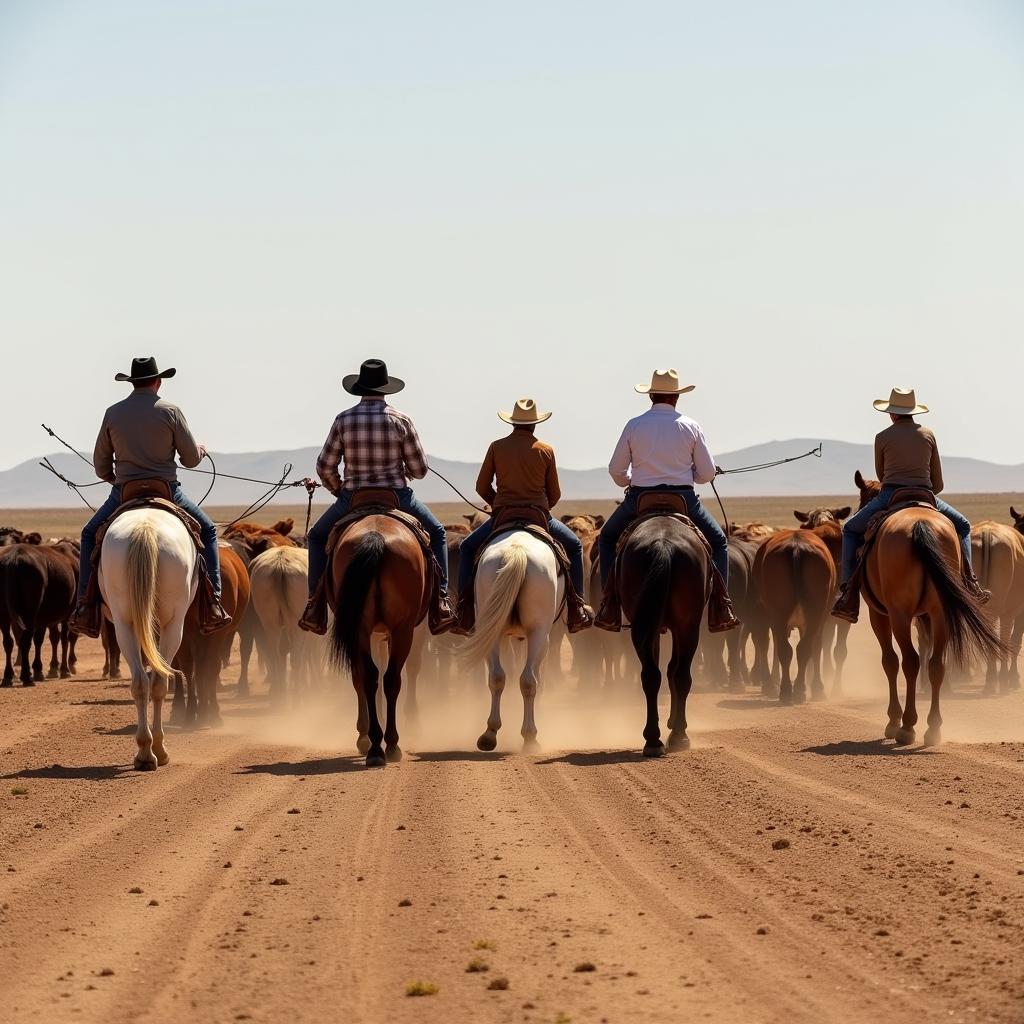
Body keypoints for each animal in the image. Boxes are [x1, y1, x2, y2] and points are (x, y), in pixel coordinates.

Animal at [99, 512, 197, 770]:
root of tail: (146, 528)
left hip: (124, 620)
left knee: (142, 683)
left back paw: (145, 751)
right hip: (173, 622)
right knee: (159, 681)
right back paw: (158, 750)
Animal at [325, 516, 425, 765]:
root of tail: (376, 536)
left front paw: (365, 735)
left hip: (362, 628)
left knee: (371, 677)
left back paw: (376, 747)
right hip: (401, 630)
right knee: (390, 679)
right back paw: (388, 744)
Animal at [460, 528, 565, 753]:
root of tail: (517, 549)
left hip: (492, 628)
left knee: (497, 676)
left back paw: (489, 734)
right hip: (538, 633)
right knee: (528, 680)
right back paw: (530, 736)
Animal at [614, 516, 712, 757]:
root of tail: (663, 544)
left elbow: (666, 670)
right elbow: (673, 669)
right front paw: (673, 723)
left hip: (649, 625)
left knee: (652, 675)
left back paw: (653, 739)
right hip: (687, 627)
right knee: (680, 675)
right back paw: (677, 735)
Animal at [851, 471, 1003, 745]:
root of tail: (919, 525)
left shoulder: (878, 614)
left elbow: (889, 661)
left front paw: (893, 720)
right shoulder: (926, 616)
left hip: (899, 615)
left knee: (909, 661)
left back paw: (906, 726)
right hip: (939, 613)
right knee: (936, 664)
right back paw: (933, 728)